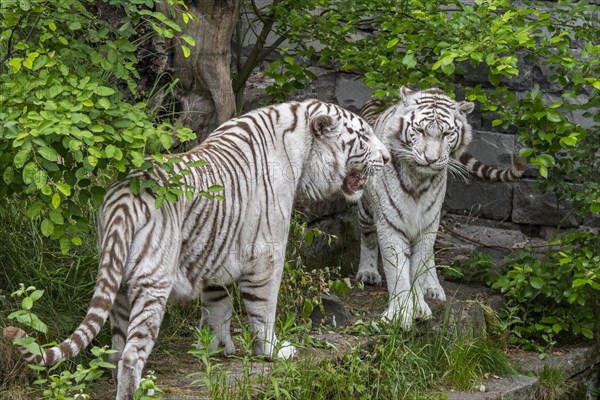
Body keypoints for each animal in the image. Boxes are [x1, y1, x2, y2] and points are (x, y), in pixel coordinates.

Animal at [4, 98, 392, 398]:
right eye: (363, 136)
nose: (388, 158)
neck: (300, 152)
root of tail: (125, 195)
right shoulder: (267, 255)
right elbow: (263, 309)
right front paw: (273, 350)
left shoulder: (217, 255)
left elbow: (217, 308)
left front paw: (218, 349)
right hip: (152, 283)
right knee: (131, 354)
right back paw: (137, 390)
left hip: (119, 285)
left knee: (116, 350)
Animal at [356, 86, 524, 328]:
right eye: (419, 130)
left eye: (446, 134)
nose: (431, 159)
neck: (419, 179)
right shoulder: (390, 222)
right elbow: (398, 270)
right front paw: (400, 313)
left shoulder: (428, 223)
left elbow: (418, 267)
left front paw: (419, 305)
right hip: (366, 209)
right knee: (368, 236)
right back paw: (368, 273)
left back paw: (433, 287)